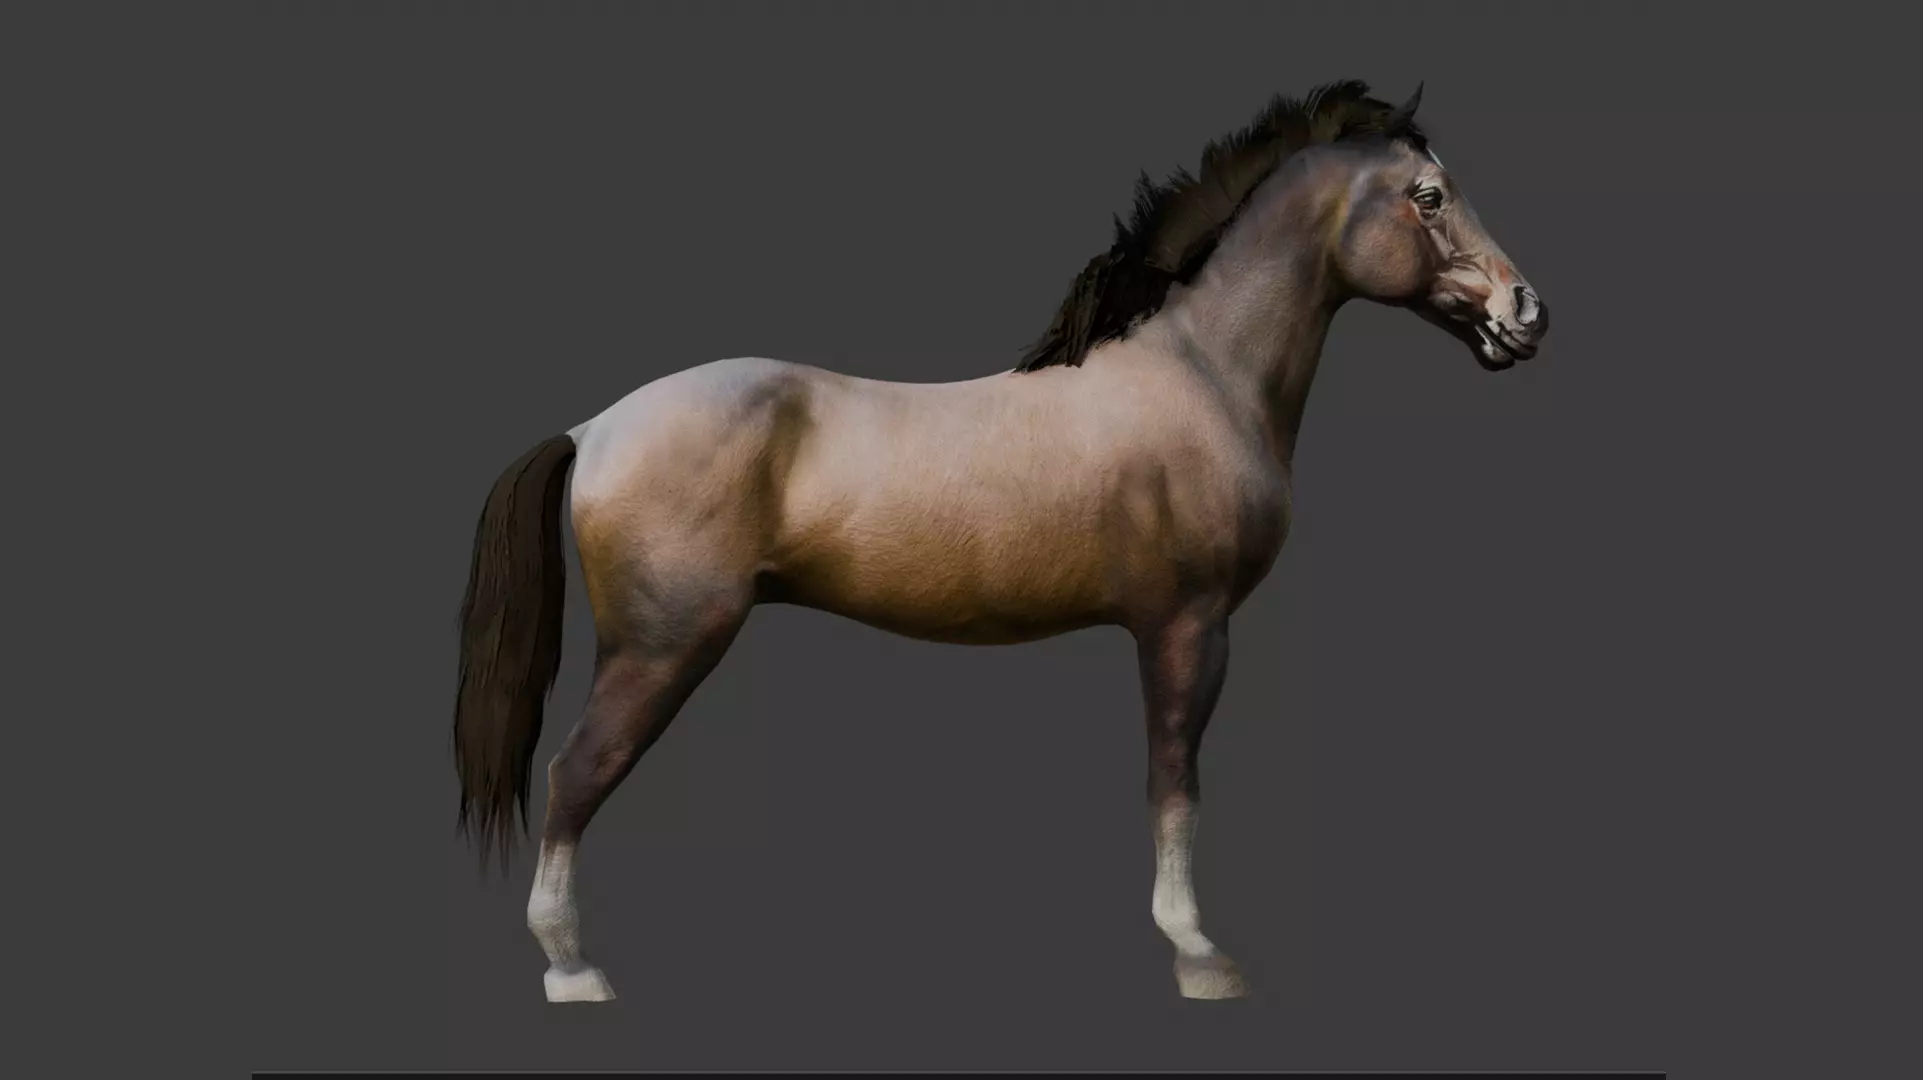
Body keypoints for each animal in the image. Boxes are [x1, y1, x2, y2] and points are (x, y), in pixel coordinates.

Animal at [452, 79, 1551, 1004]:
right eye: (1429, 196)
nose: (1526, 312)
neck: (1203, 374)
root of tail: (595, 426)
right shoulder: (1187, 628)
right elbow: (1174, 781)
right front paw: (1197, 953)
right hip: (663, 647)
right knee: (574, 774)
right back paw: (573, 971)